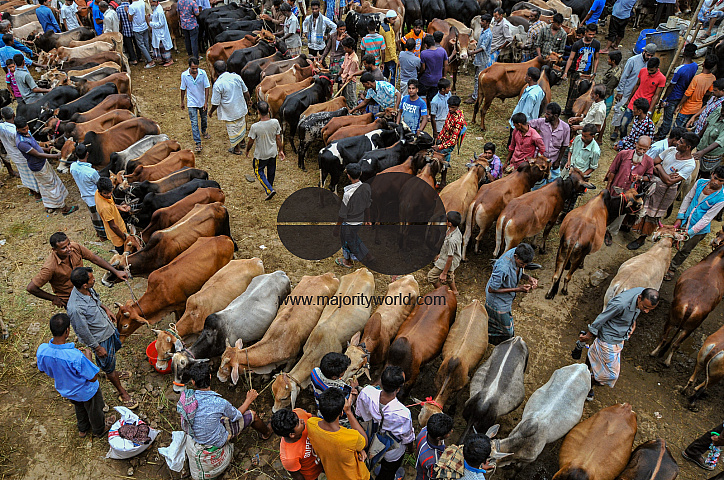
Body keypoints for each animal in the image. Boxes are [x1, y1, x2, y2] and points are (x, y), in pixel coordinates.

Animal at [652, 238, 724, 366]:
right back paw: (667, 361)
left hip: (674, 320)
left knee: (666, 339)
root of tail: (691, 305)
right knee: (674, 344)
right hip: (690, 327)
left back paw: (655, 354)